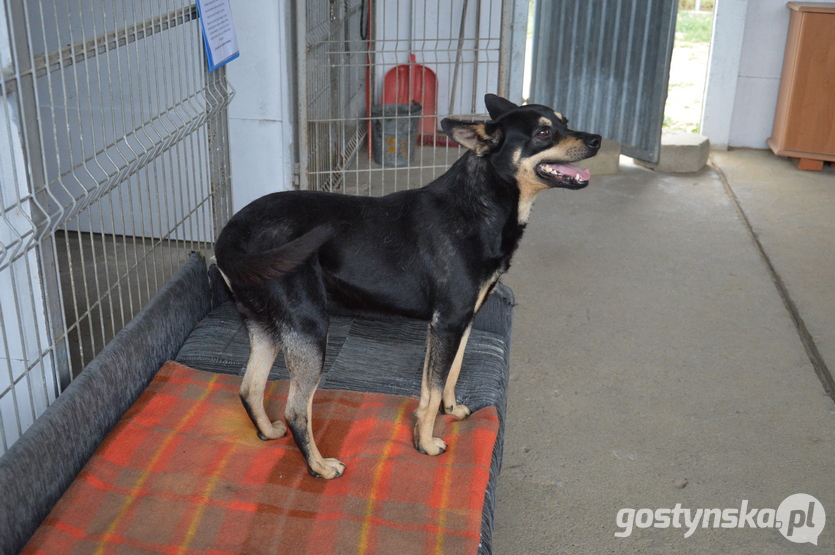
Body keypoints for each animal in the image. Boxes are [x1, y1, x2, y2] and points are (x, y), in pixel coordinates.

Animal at [212, 94, 596, 478]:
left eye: (564, 121)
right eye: (543, 133)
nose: (597, 140)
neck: (481, 203)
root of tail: (231, 233)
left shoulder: (460, 323)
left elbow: (446, 378)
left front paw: (448, 411)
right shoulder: (448, 323)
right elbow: (434, 387)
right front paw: (426, 443)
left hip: (265, 325)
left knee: (249, 388)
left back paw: (268, 432)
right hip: (308, 326)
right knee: (295, 410)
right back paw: (320, 467)